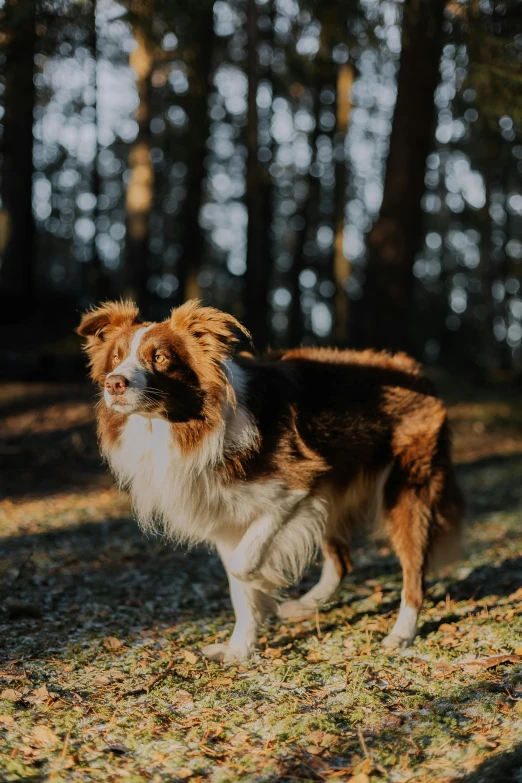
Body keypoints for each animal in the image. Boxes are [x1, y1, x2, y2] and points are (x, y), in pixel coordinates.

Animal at [78, 300, 464, 660]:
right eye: (115, 357)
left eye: (159, 357)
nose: (114, 383)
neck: (181, 426)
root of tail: (415, 368)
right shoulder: (226, 516)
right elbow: (238, 590)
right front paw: (240, 649)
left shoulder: (297, 487)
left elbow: (242, 566)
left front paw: (266, 583)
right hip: (334, 496)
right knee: (342, 560)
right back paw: (306, 605)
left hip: (406, 487)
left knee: (414, 571)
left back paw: (401, 633)